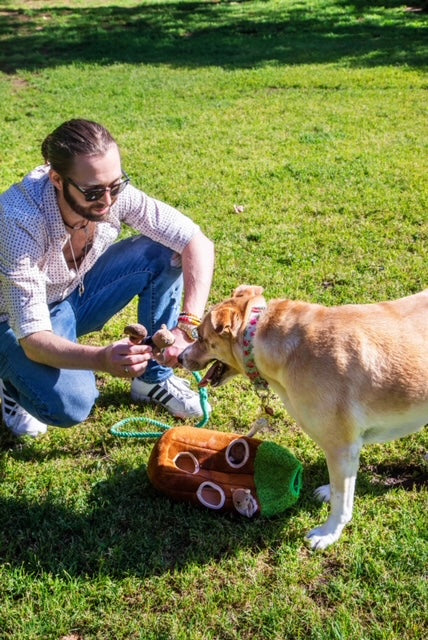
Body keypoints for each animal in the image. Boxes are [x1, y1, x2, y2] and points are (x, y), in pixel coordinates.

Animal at [180, 286, 428, 552]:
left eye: (200, 336)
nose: (180, 357)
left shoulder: (342, 446)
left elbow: (342, 501)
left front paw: (329, 533)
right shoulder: (343, 451)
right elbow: (340, 486)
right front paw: (329, 491)